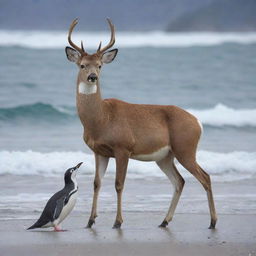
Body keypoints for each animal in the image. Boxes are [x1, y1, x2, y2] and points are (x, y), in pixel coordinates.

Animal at [65, 18, 217, 230]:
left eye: (100, 65)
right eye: (82, 65)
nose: (92, 76)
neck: (101, 119)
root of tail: (197, 122)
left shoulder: (123, 147)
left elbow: (119, 184)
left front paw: (118, 222)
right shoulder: (99, 151)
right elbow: (97, 183)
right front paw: (90, 221)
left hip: (185, 148)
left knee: (205, 177)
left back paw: (212, 222)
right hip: (165, 156)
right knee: (179, 181)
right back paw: (164, 221)